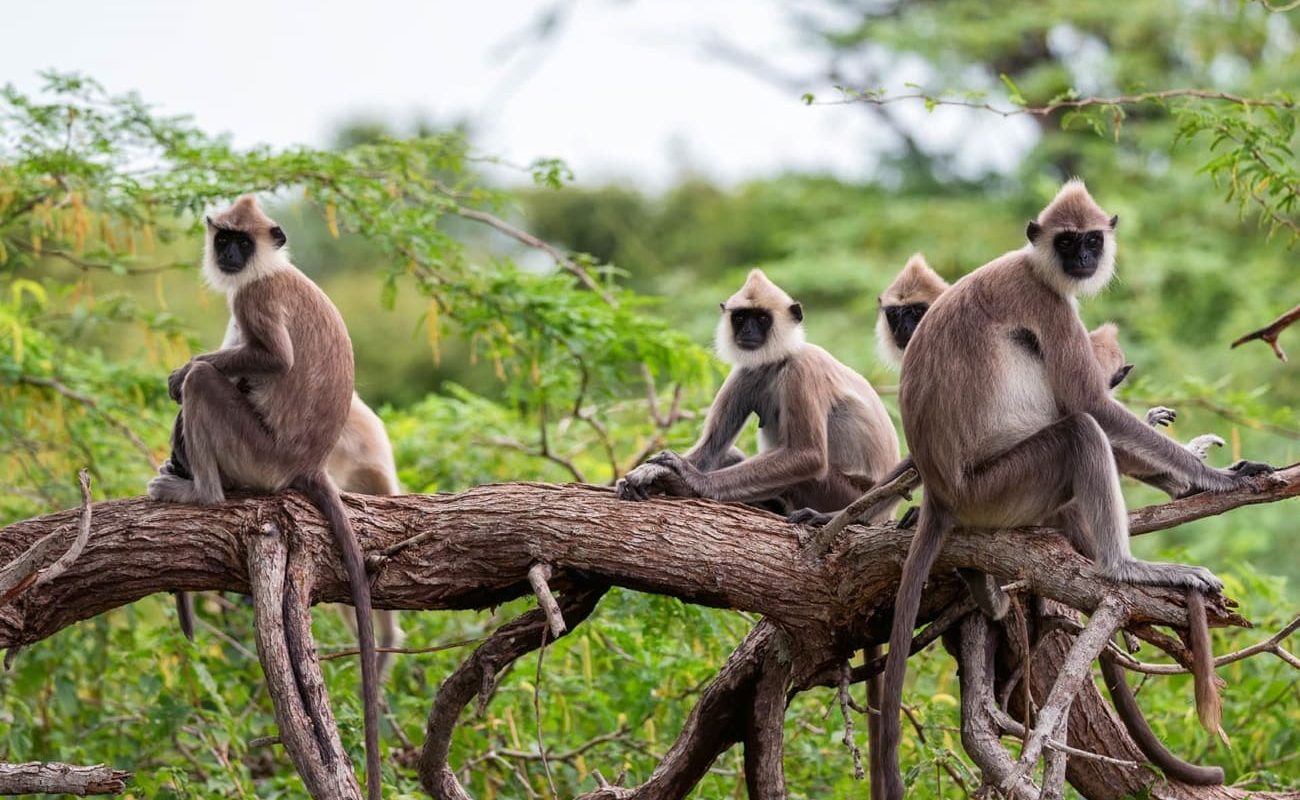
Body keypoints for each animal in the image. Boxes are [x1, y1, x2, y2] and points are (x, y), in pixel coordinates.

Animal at [147, 196, 382, 800]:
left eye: (242, 242)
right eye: (224, 238)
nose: (229, 255)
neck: (268, 268)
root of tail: (306, 465)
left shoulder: (254, 297)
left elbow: (270, 359)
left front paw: (184, 369)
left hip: (257, 454)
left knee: (206, 384)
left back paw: (202, 492)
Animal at [616, 268, 900, 519]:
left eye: (762, 318)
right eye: (741, 318)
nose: (748, 332)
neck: (779, 362)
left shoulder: (802, 368)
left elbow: (809, 456)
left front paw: (688, 480)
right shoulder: (746, 372)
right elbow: (708, 450)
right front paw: (655, 473)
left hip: (845, 495)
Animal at [873, 180, 1271, 799]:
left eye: (1090, 240)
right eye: (1066, 242)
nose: (1082, 258)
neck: (1033, 265)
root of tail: (940, 494)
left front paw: (1189, 481)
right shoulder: (1047, 304)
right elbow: (1088, 404)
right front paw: (1217, 479)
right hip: (999, 489)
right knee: (1079, 430)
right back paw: (1123, 567)